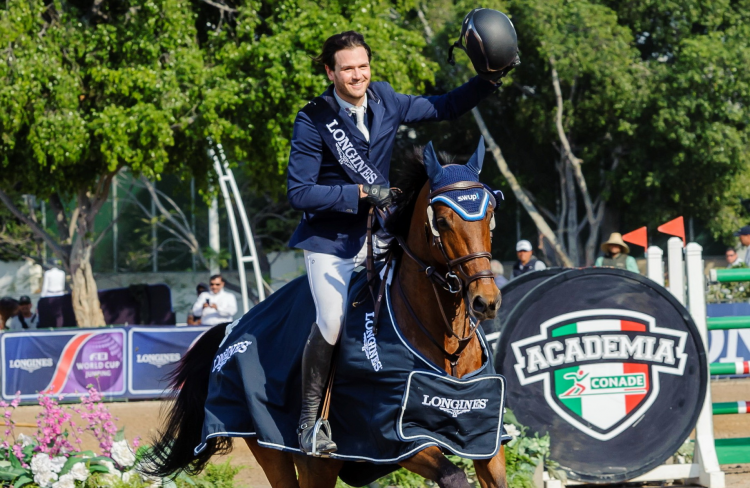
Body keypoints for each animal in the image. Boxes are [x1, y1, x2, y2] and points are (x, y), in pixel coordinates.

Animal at [144, 143, 508, 488]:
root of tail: (232, 329)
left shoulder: (486, 440)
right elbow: (454, 476)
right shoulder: (398, 440)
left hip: (318, 465)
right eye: (442, 221)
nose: (485, 301)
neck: (446, 344)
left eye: (490, 214)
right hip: (280, 451)